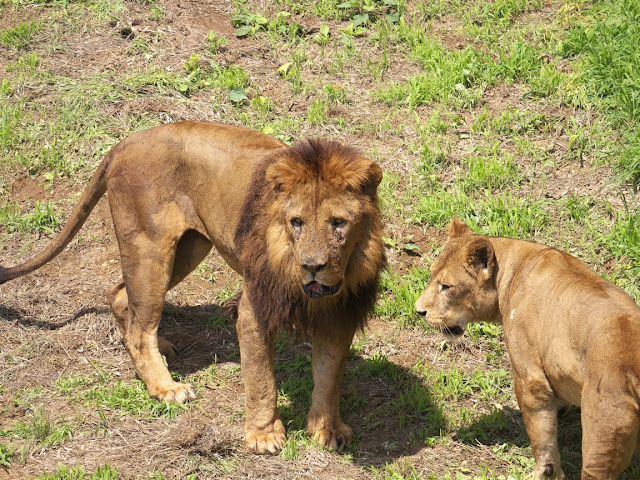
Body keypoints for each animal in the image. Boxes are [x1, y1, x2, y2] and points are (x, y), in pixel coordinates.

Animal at [1, 120, 384, 454]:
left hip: (189, 248)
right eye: (297, 222)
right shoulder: (252, 312)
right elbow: (262, 381)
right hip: (150, 249)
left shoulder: (340, 317)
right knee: (140, 325)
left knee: (122, 296)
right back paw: (165, 387)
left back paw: (160, 353)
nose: (312, 267)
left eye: (339, 223)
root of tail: (126, 142)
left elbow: (330, 377)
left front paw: (327, 430)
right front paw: (263, 436)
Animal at [416, 218, 640, 480]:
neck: (513, 270)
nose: (419, 310)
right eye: (431, 276)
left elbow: (541, 436)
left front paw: (545, 472)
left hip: (603, 428)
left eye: (446, 286)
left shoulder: (529, 373)